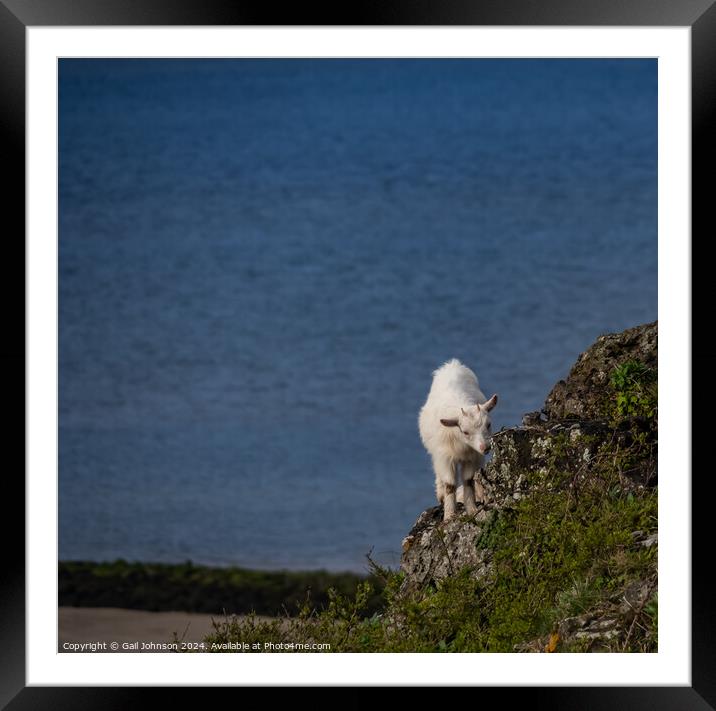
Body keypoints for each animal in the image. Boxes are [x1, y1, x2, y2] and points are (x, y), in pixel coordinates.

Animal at [420, 362, 498, 524]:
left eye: (488, 424)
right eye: (465, 432)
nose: (485, 447)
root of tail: (452, 364)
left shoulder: (473, 457)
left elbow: (468, 480)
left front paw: (472, 509)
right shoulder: (445, 457)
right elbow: (450, 485)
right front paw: (449, 515)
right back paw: (441, 495)